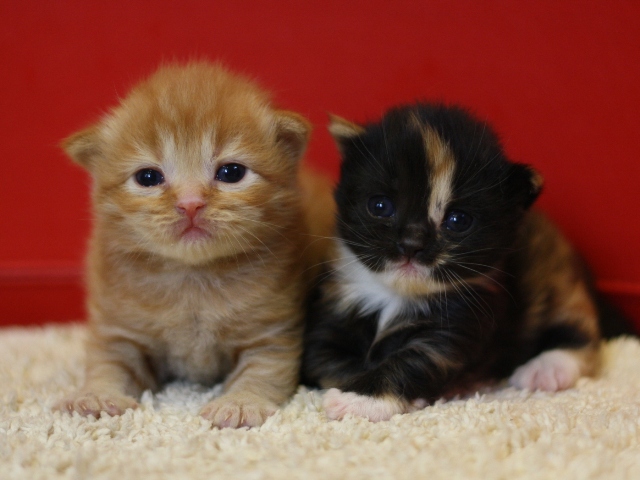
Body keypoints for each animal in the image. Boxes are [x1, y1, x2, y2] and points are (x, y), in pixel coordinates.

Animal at [57, 62, 332, 428]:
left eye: (231, 172)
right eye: (148, 177)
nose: (190, 204)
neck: (192, 276)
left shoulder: (270, 332)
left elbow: (262, 372)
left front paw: (242, 403)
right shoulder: (121, 332)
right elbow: (108, 365)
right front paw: (97, 395)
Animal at [304, 104, 604, 420]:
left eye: (458, 220)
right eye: (380, 206)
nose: (411, 244)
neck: (395, 294)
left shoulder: (461, 323)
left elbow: (416, 360)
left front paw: (362, 399)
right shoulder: (330, 311)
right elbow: (326, 362)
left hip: (559, 279)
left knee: (577, 327)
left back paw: (546, 368)